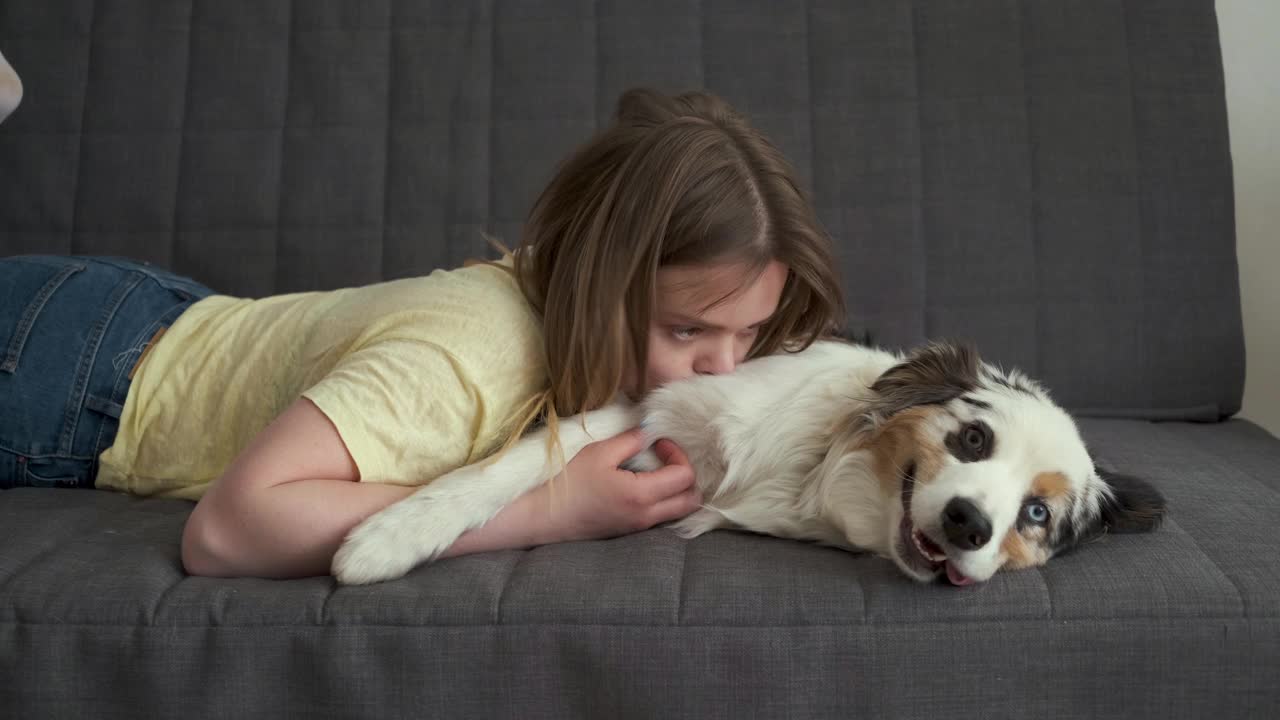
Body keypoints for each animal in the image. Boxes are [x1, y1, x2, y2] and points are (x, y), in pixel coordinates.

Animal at [332, 335, 1172, 584]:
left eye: (1036, 514)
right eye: (973, 440)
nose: (970, 524)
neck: (808, 475)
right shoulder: (650, 407)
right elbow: (509, 469)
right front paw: (387, 538)